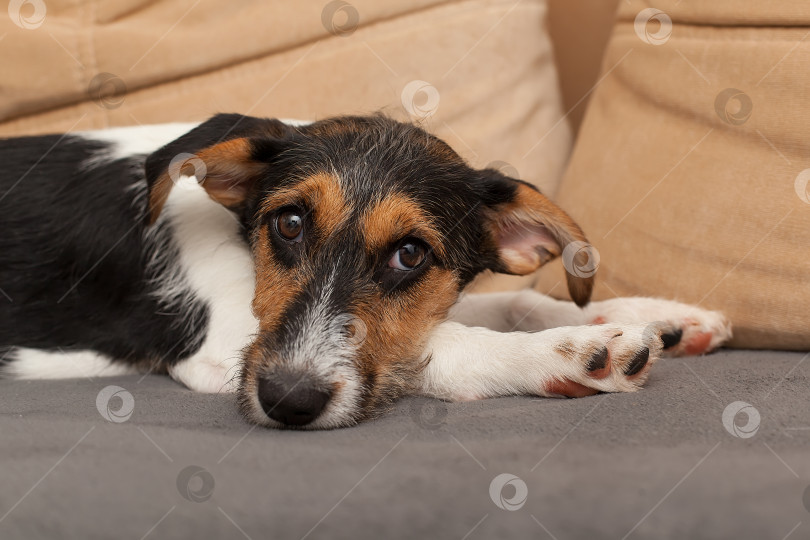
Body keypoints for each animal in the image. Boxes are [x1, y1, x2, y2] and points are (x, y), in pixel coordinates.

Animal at [0, 115, 732, 430]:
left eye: (411, 255)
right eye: (289, 223)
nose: (287, 403)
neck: (235, 232)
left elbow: (503, 303)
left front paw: (656, 316)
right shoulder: (224, 346)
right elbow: (444, 344)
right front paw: (571, 351)